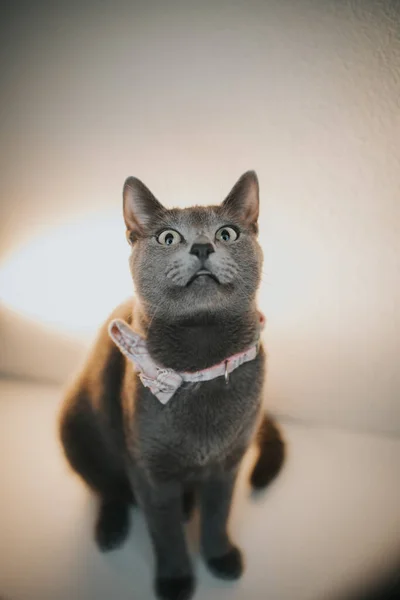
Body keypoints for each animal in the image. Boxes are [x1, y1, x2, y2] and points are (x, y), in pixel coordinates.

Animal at [58, 170, 284, 600]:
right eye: (168, 237)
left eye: (227, 233)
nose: (202, 246)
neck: (201, 365)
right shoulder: (150, 471)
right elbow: (164, 532)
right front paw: (176, 580)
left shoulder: (229, 463)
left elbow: (218, 515)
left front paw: (220, 557)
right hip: (76, 425)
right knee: (106, 487)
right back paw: (111, 528)